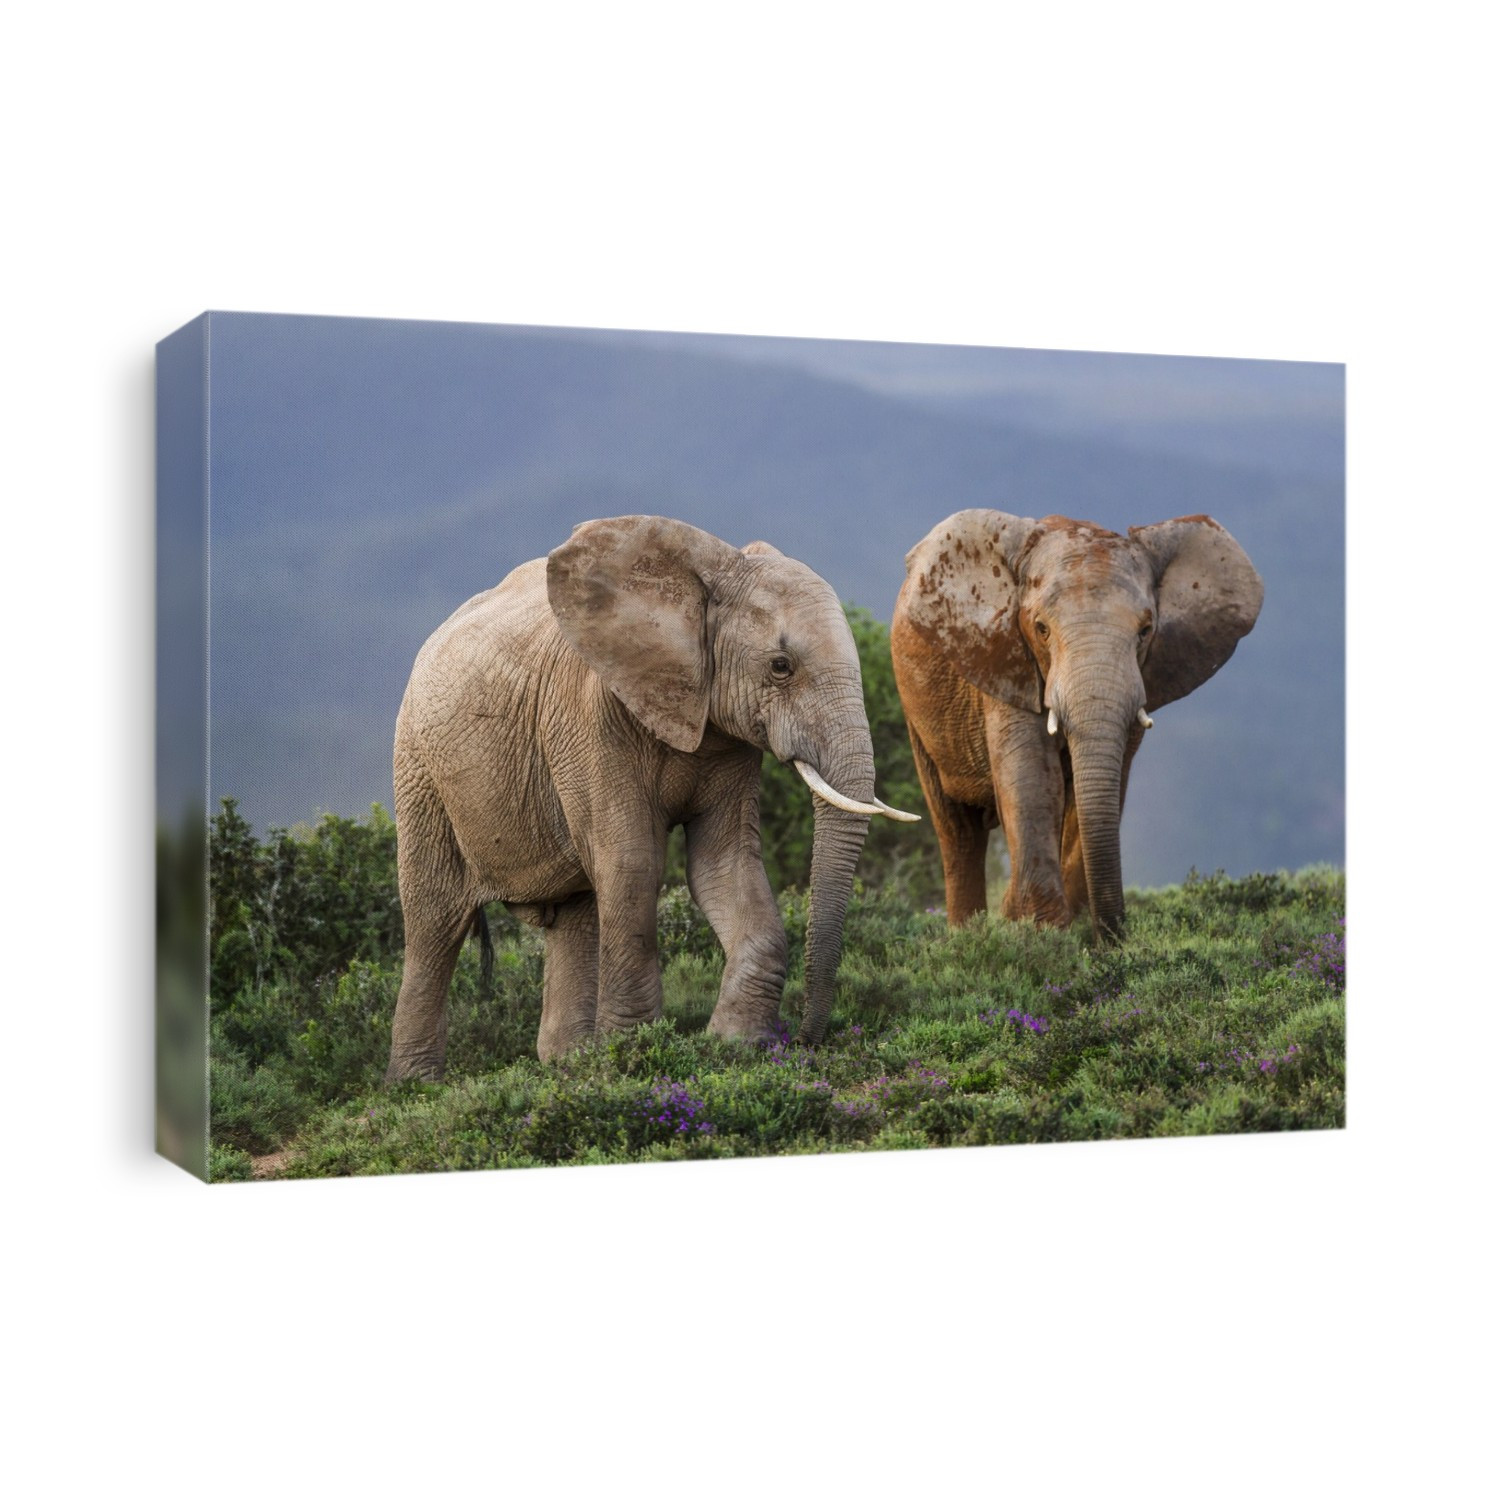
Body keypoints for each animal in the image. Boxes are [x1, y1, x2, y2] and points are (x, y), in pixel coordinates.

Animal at [385, 514, 919, 1081]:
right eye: (781, 666)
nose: (805, 1039)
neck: (708, 575)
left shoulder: (726, 736)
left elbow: (723, 863)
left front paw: (737, 1045)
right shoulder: (592, 717)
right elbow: (634, 863)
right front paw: (633, 1054)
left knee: (573, 910)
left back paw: (569, 1064)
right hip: (418, 767)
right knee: (435, 920)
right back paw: (415, 1086)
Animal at [891, 509, 1262, 941]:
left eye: (1145, 631)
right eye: (1041, 628)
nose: (1114, 937)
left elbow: (1104, 787)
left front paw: (1069, 928)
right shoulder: (1006, 662)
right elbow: (1034, 778)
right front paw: (1043, 934)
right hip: (917, 712)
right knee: (957, 830)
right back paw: (969, 937)